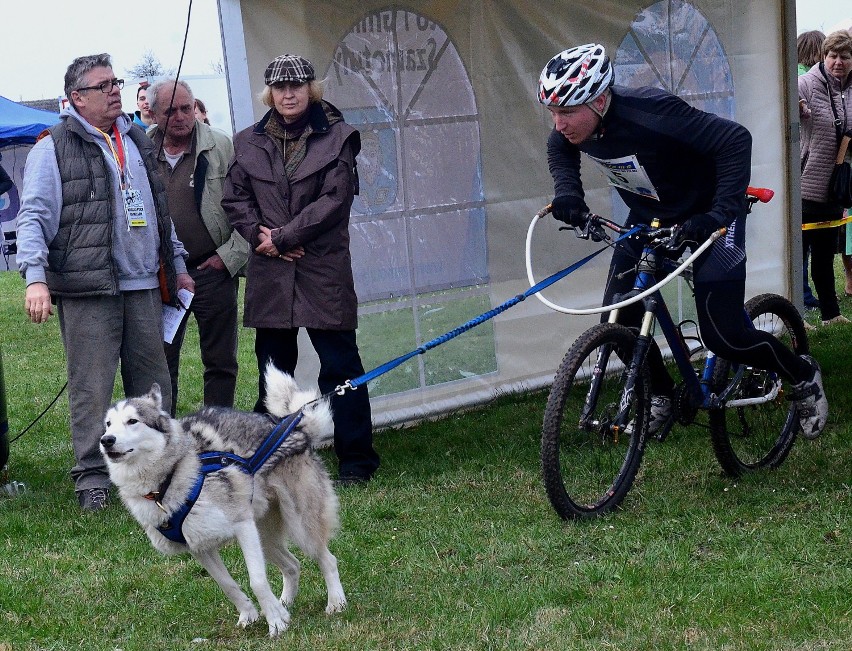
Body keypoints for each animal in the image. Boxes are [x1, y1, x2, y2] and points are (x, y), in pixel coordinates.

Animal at [101, 364, 348, 640]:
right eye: (108, 424)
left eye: (132, 421)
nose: (106, 440)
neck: (169, 478)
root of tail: (294, 427)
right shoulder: (200, 547)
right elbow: (227, 585)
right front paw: (253, 615)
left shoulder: (243, 526)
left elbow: (257, 581)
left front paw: (275, 622)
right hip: (265, 536)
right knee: (293, 566)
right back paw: (284, 604)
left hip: (300, 526)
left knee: (327, 559)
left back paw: (335, 603)